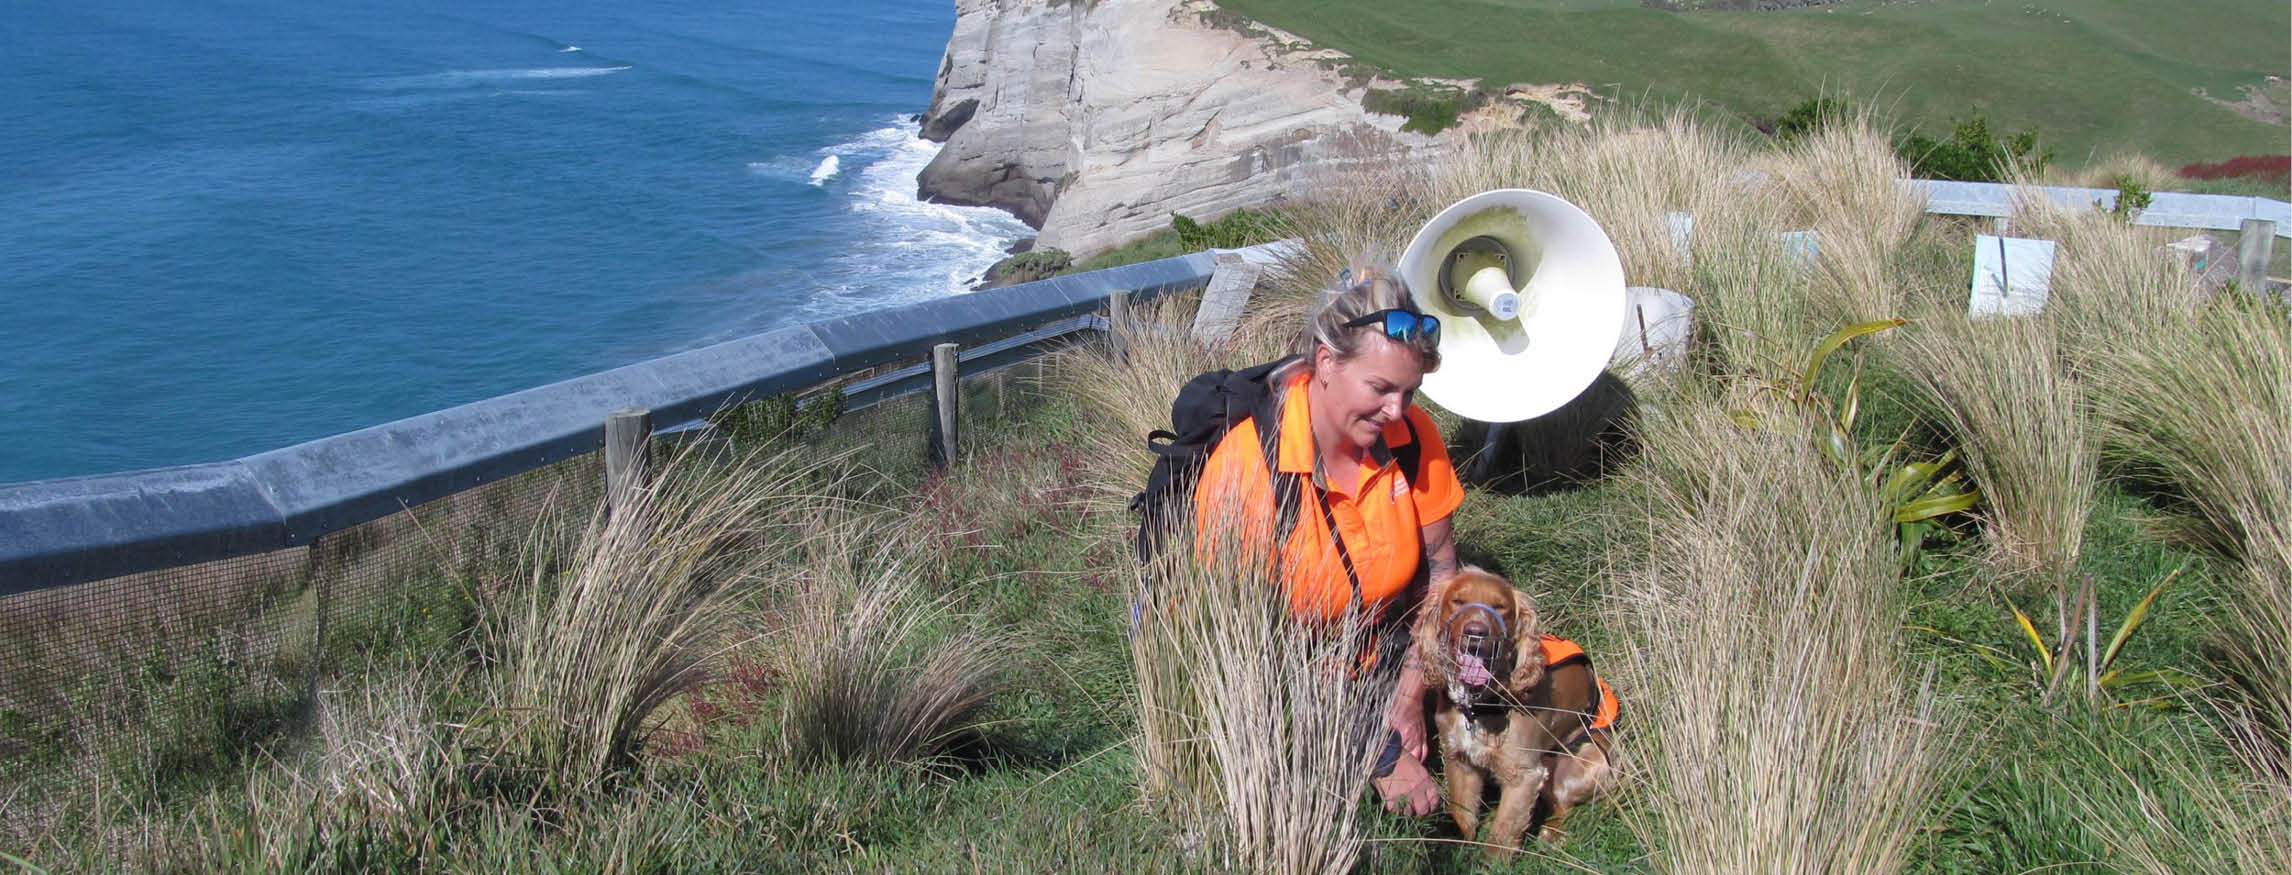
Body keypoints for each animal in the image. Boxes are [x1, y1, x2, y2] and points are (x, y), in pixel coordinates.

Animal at [1402, 568, 1622, 856]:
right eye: (1458, 601)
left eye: (1500, 606)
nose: (1476, 633)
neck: (1479, 705)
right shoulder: (1461, 760)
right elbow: (1463, 812)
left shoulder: (1524, 775)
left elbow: (1502, 835)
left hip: (1588, 762)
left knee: (1563, 805)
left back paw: (1551, 834)